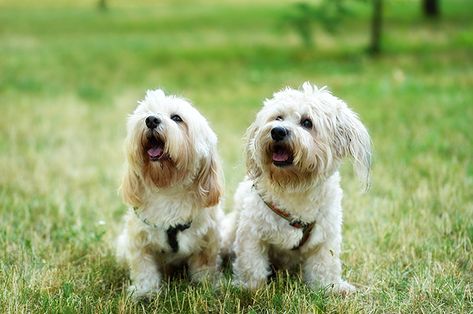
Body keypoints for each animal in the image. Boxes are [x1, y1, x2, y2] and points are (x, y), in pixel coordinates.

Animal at [115, 89, 223, 300]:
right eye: (147, 113)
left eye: (176, 118)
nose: (151, 120)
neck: (168, 190)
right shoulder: (139, 241)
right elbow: (144, 268)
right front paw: (144, 291)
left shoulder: (207, 240)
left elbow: (205, 266)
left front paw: (207, 287)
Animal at [222, 82, 372, 294]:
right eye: (278, 117)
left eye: (307, 123)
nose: (277, 131)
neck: (294, 185)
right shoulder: (252, 233)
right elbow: (251, 264)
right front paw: (250, 288)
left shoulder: (326, 236)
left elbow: (325, 264)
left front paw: (331, 287)